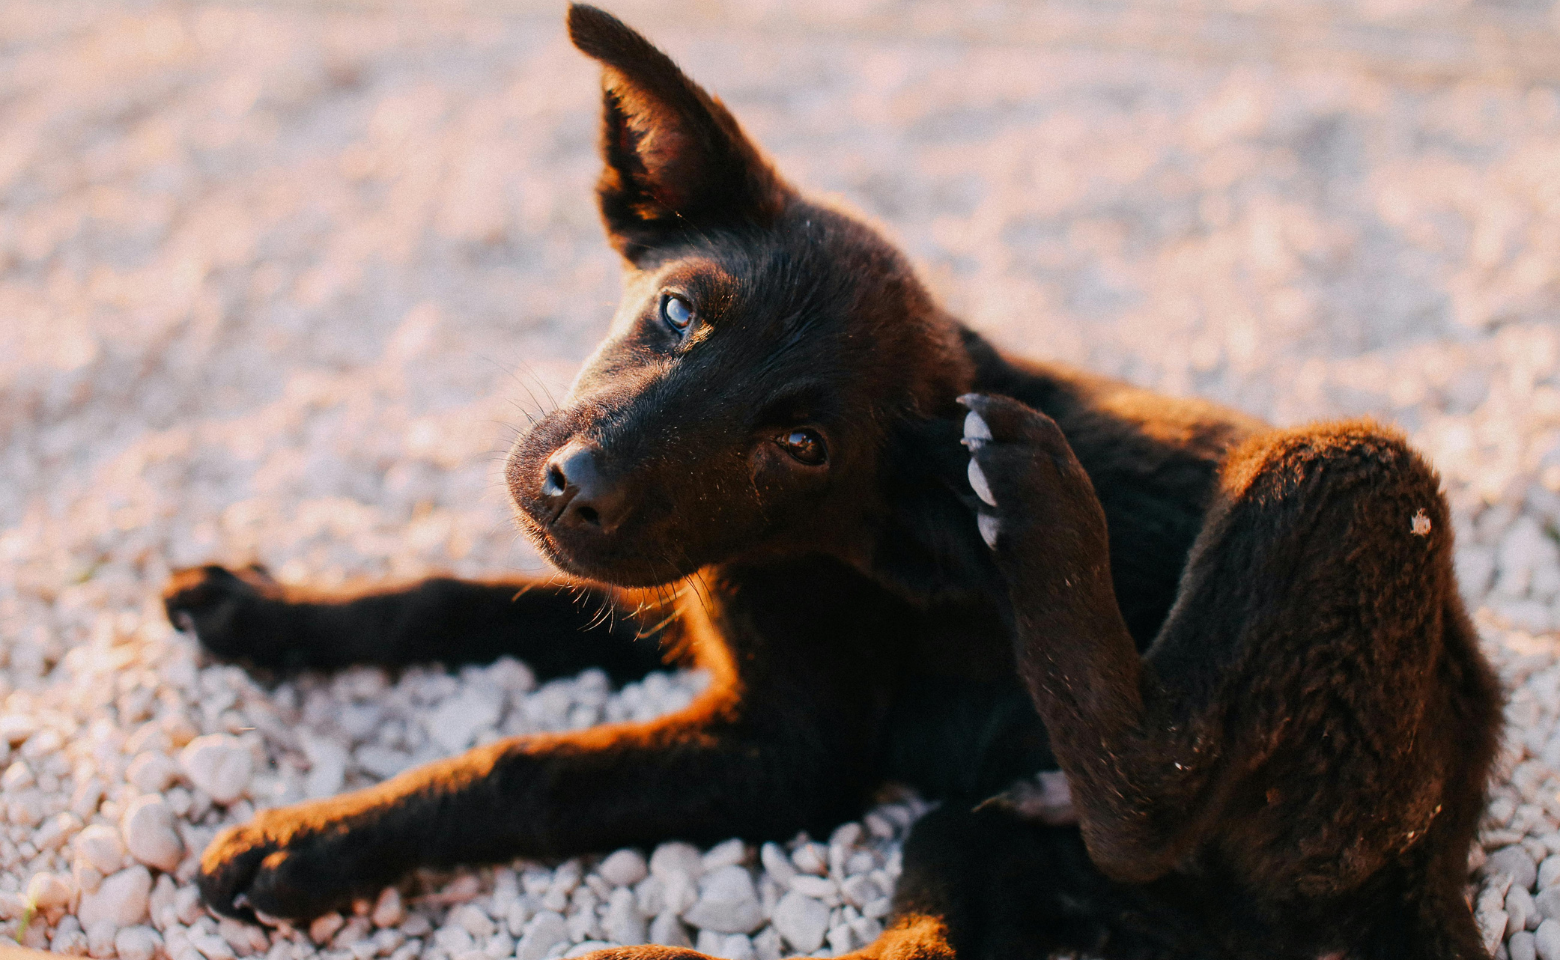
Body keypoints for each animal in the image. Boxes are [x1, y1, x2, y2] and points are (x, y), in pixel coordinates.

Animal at [167, 5, 1497, 955]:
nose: (573, 486)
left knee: (1148, 797)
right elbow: (446, 597)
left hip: (1349, 479)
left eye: (803, 446)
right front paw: (261, 610)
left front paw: (313, 841)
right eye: (678, 310)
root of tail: (1449, 815)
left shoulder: (790, 751)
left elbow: (530, 768)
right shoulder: (664, 600)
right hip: (1012, 848)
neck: (808, 545)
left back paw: (1038, 510)